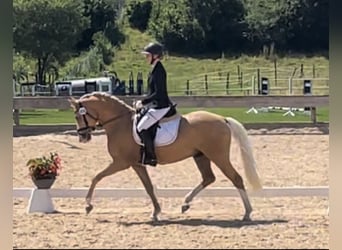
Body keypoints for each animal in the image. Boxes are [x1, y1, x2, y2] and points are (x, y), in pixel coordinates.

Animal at [69, 92, 262, 221]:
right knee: (208, 178)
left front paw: (88, 205)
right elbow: (148, 187)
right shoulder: (137, 164)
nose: (82, 137)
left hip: (218, 156)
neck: (119, 123)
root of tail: (222, 119)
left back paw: (247, 213)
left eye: (78, 115)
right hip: (201, 156)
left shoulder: (121, 162)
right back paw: (185, 204)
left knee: (236, 178)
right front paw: (156, 212)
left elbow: (96, 177)